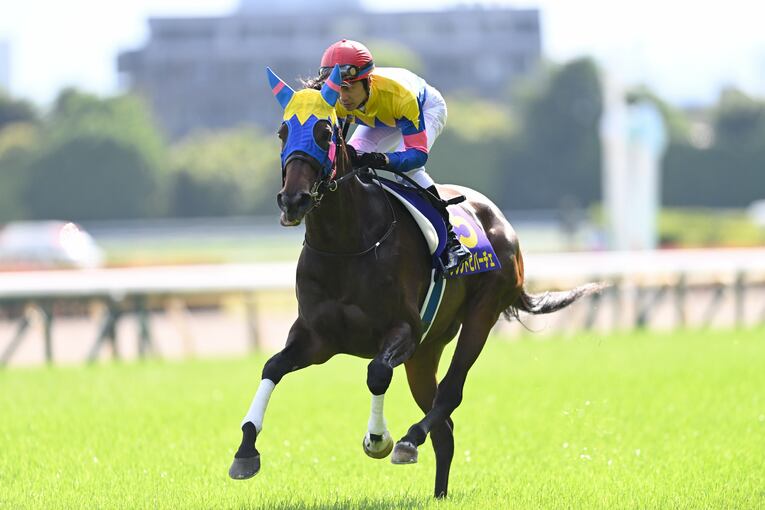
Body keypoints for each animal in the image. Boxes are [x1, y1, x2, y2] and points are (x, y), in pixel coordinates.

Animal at [228, 64, 602, 498]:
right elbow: (272, 366)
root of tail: (502, 222)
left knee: (450, 394)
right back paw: (438, 491)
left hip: (481, 314)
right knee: (445, 428)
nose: (293, 201)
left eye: (324, 131)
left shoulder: (403, 329)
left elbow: (376, 373)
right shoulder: (318, 338)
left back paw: (410, 439)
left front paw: (379, 439)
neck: (347, 244)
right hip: (426, 350)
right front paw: (245, 451)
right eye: (282, 132)